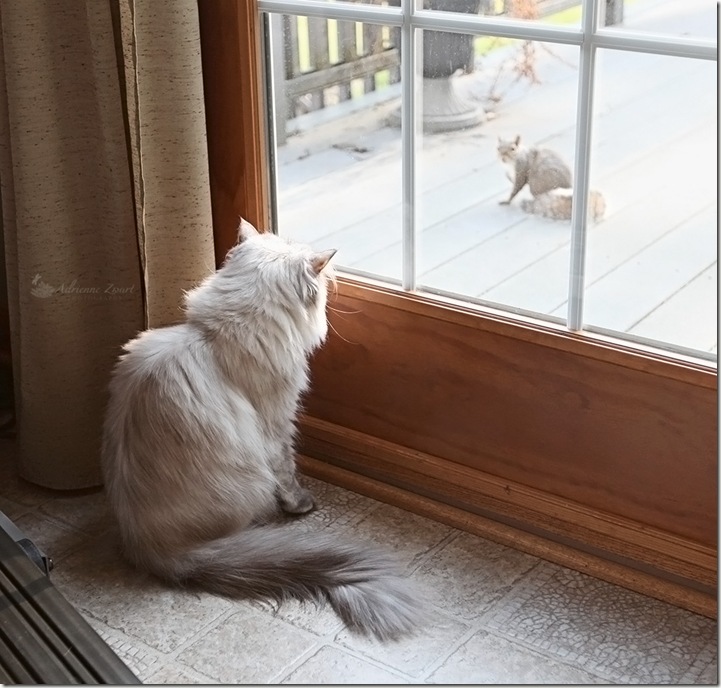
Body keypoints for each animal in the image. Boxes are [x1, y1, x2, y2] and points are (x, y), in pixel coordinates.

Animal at [101, 220, 422, 640]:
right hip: (252, 477)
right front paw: (301, 504)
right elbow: (288, 470)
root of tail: (151, 549)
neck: (213, 336)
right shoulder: (278, 423)